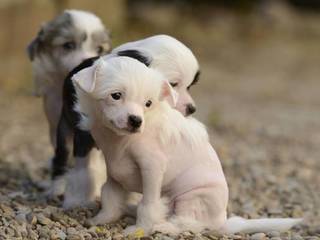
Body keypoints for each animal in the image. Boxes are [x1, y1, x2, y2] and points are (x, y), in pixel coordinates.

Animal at [55, 34, 200, 208]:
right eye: (173, 84)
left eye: (190, 86)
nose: (191, 109)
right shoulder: (84, 134)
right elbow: (83, 169)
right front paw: (78, 200)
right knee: (62, 156)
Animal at [71, 56, 302, 236]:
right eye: (116, 95)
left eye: (148, 103)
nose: (136, 121)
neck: (119, 139)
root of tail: (221, 221)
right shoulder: (114, 169)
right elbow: (110, 195)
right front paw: (101, 219)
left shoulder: (152, 166)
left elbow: (149, 204)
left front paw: (140, 229)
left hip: (191, 198)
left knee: (190, 224)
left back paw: (165, 227)